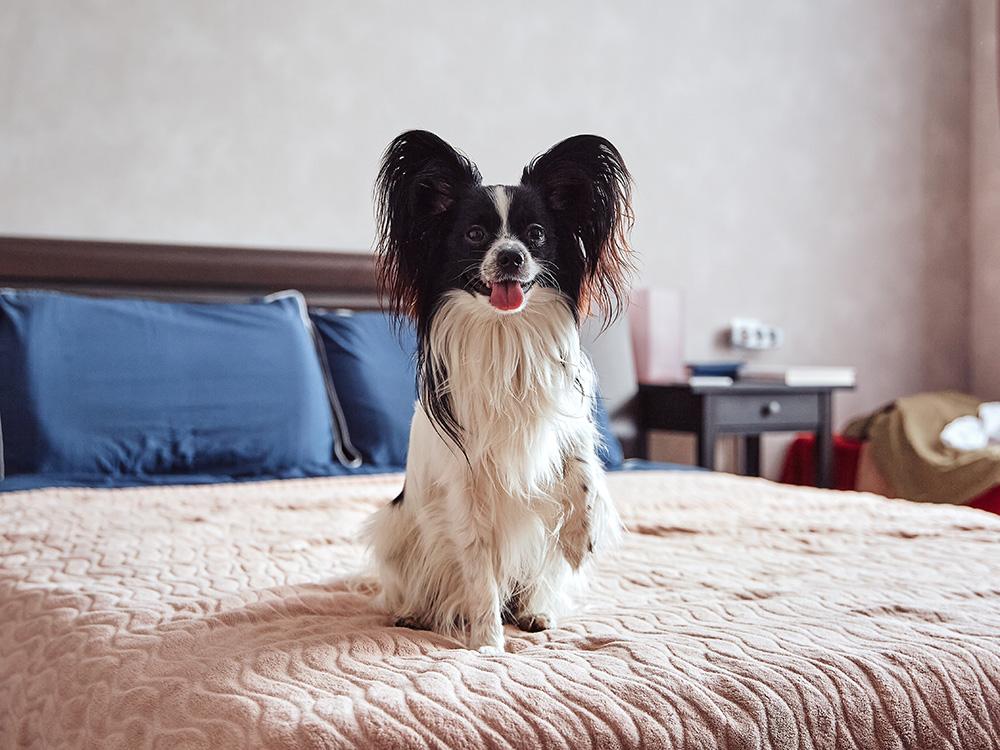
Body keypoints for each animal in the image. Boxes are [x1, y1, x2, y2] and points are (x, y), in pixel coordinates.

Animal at [368, 131, 632, 652]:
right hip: (395, 531)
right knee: (414, 585)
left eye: (537, 234)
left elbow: (582, 468)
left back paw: (533, 610)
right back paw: (414, 613)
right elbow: (478, 570)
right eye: (475, 235)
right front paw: (487, 644)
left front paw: (580, 538)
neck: (505, 332)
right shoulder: (465, 489)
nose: (511, 255)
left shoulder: (566, 421)